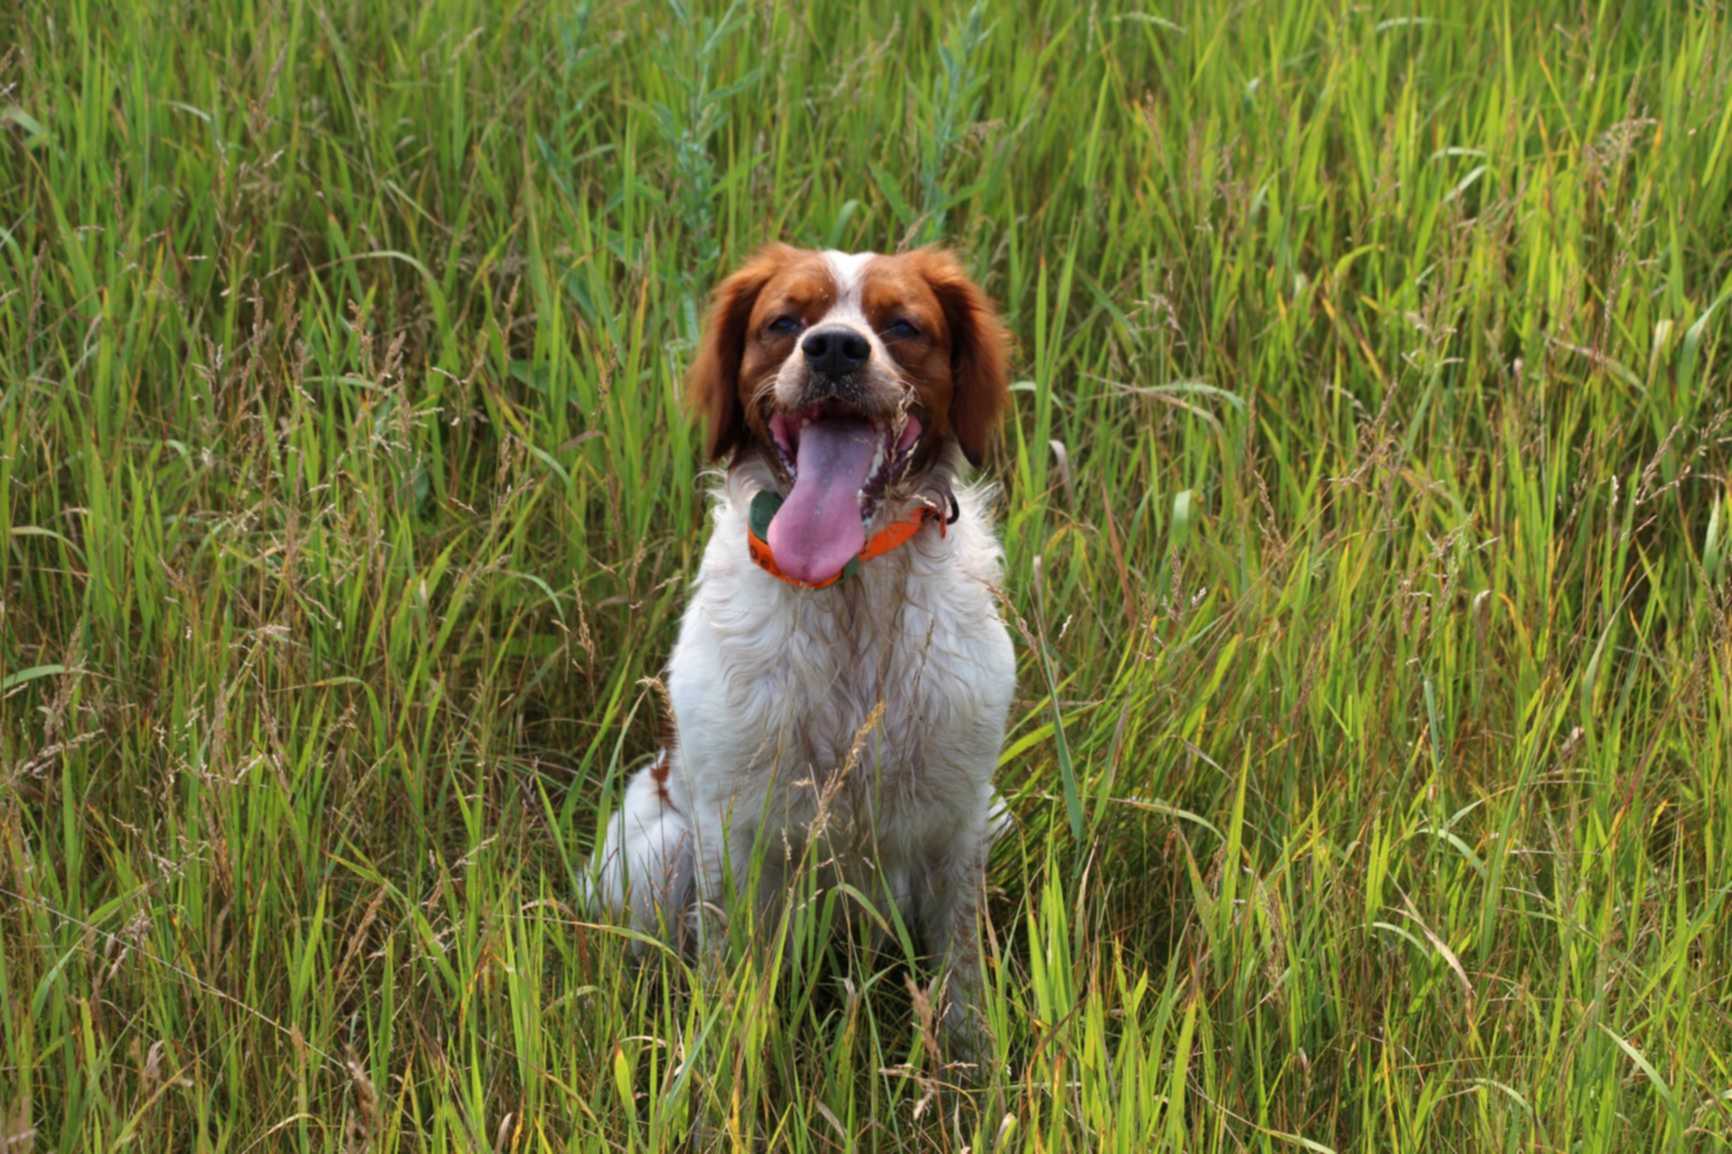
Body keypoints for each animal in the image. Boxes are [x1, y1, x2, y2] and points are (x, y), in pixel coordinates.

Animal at [581, 244, 1011, 1039]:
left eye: (903, 325)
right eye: (784, 322)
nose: (835, 348)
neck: (846, 592)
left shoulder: (962, 817)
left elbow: (963, 986)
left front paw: (976, 1071)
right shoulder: (732, 830)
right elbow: (729, 981)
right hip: (656, 853)